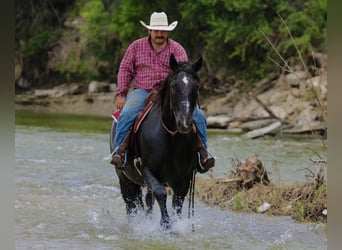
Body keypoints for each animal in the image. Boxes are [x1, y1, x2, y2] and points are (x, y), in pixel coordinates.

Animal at [109, 54, 202, 229]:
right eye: (173, 86)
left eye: (196, 87)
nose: (184, 124)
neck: (171, 138)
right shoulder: (148, 171)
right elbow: (161, 193)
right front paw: (165, 224)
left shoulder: (184, 178)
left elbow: (177, 202)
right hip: (124, 178)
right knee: (131, 203)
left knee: (147, 202)